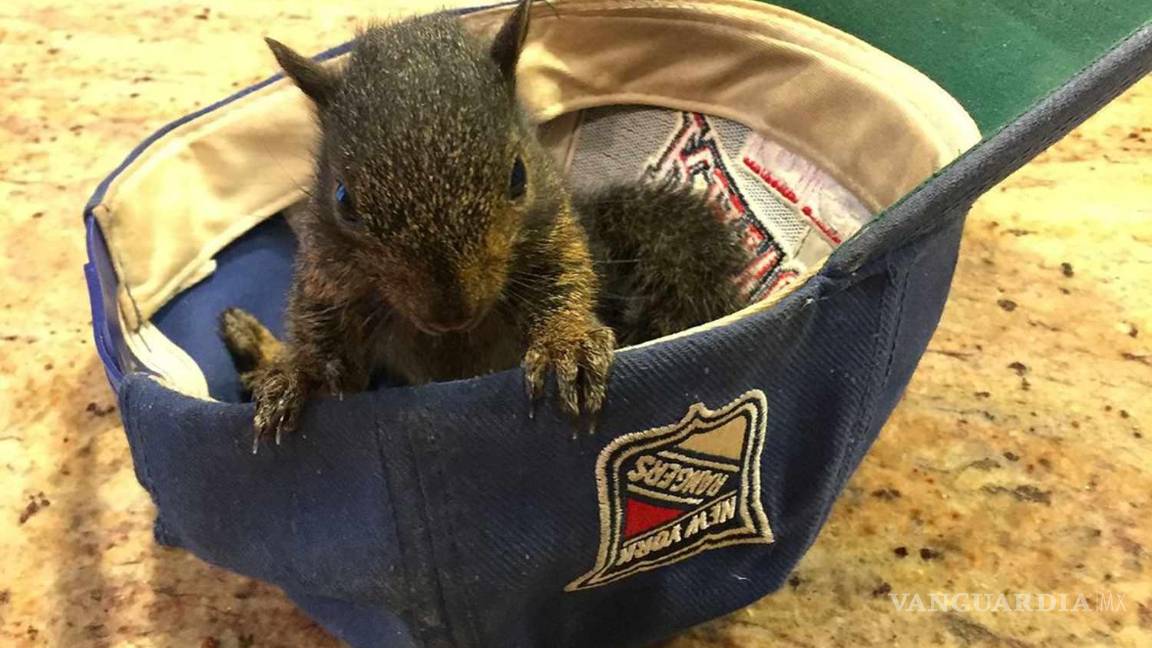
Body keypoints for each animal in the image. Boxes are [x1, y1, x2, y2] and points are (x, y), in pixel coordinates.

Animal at [221, 0, 748, 450]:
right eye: (343, 200)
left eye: (518, 176)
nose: (450, 311)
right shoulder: (327, 273)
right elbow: (323, 339)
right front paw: (299, 372)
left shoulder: (554, 235)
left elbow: (566, 281)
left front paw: (567, 343)